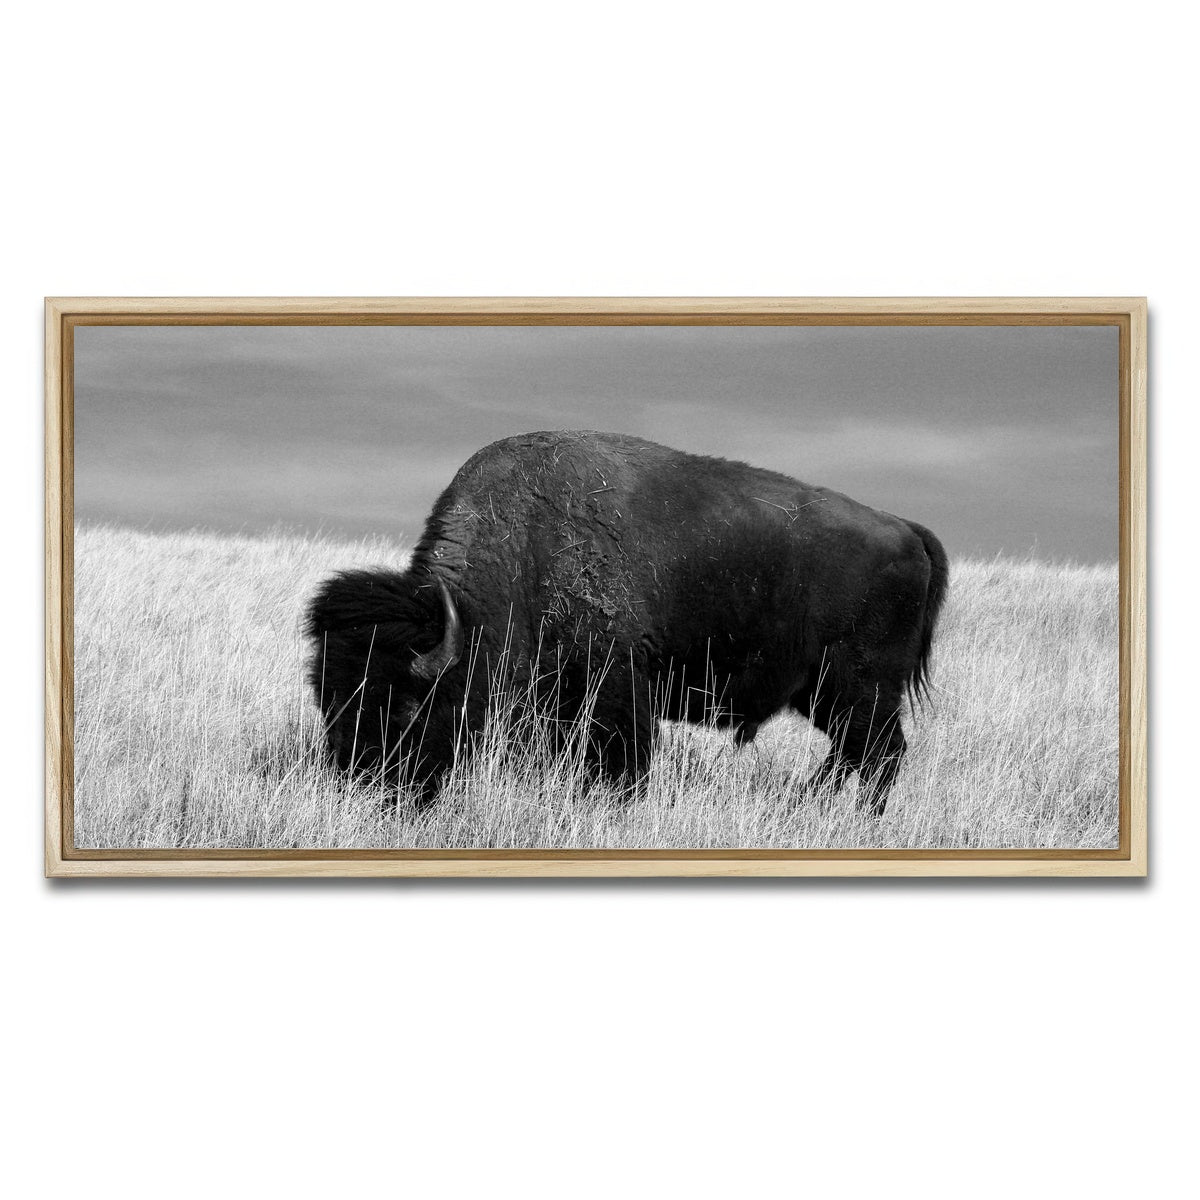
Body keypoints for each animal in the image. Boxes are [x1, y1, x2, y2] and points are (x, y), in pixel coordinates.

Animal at [304, 430, 948, 815]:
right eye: (328, 700)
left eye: (407, 706)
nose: (361, 786)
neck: (524, 549)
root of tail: (906, 529)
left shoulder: (617, 684)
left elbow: (623, 758)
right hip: (823, 693)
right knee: (854, 752)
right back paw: (810, 804)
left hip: (860, 687)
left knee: (879, 753)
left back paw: (852, 815)